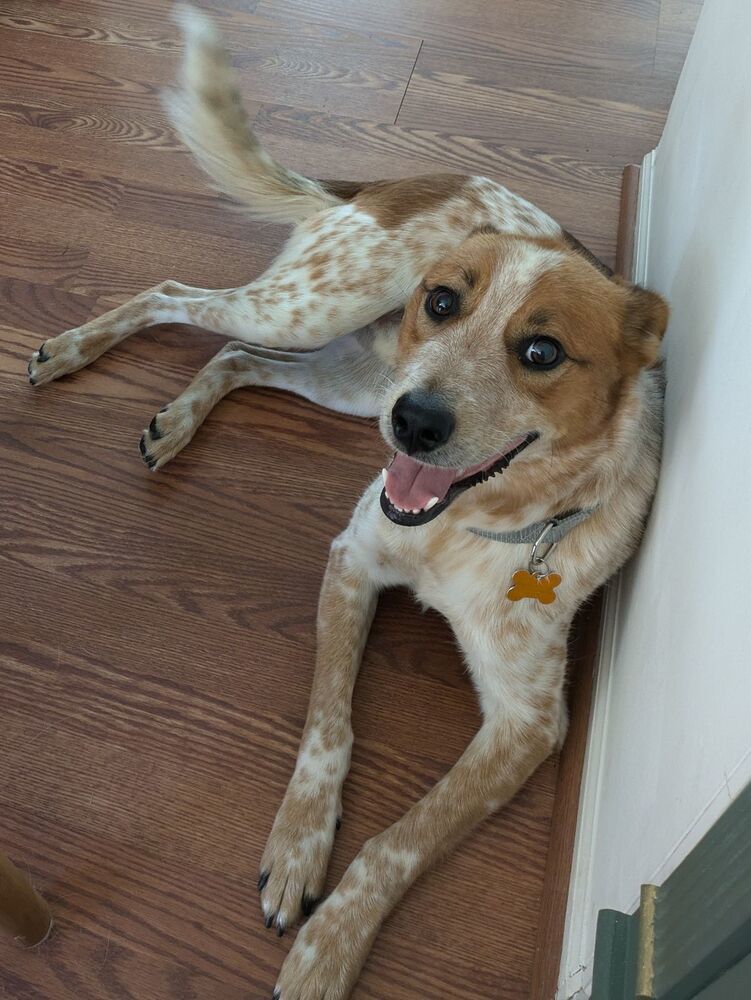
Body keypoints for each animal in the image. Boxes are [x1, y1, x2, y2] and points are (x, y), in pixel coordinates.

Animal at [26, 9, 668, 1000]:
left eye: (542, 352)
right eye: (442, 303)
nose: (418, 423)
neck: (460, 528)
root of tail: (410, 177)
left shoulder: (524, 725)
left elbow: (398, 844)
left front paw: (329, 947)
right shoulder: (354, 559)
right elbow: (327, 727)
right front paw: (298, 846)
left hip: (355, 380)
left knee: (237, 360)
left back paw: (176, 422)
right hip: (320, 321)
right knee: (177, 299)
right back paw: (73, 348)